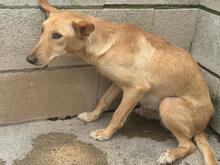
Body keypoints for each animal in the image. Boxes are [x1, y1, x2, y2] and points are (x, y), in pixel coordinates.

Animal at [25, 0, 217, 164]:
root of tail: (203, 127)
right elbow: (104, 100)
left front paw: (105, 133)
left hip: (169, 103)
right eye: (42, 30)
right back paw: (147, 112)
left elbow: (117, 114)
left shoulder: (137, 88)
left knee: (189, 145)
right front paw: (92, 116)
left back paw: (170, 154)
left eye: (57, 35)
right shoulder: (118, 84)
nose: (29, 59)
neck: (107, 42)